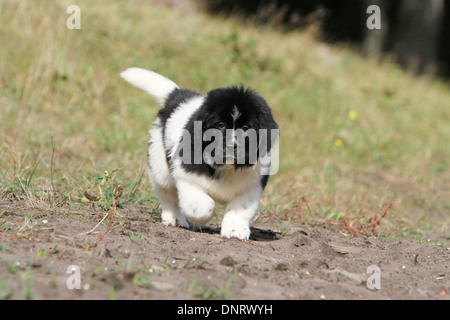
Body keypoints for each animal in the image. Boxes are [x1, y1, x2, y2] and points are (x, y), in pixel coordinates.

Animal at [121, 67, 280, 240]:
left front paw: (235, 230)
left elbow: (240, 210)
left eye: (245, 128)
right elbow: (202, 205)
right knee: (167, 194)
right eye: (220, 125)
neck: (226, 167)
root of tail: (178, 96)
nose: (232, 146)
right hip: (159, 164)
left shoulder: (251, 185)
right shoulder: (187, 175)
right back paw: (174, 218)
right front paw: (202, 220)